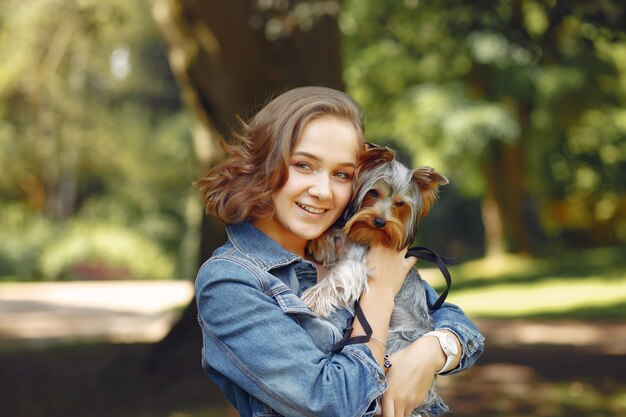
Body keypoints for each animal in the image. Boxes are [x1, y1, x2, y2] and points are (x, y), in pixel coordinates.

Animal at [302, 145, 448, 414]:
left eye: (400, 204)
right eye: (373, 193)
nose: (380, 221)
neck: (366, 233)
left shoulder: (356, 263)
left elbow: (336, 276)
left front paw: (312, 299)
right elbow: (331, 234)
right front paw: (320, 242)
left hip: (395, 340)